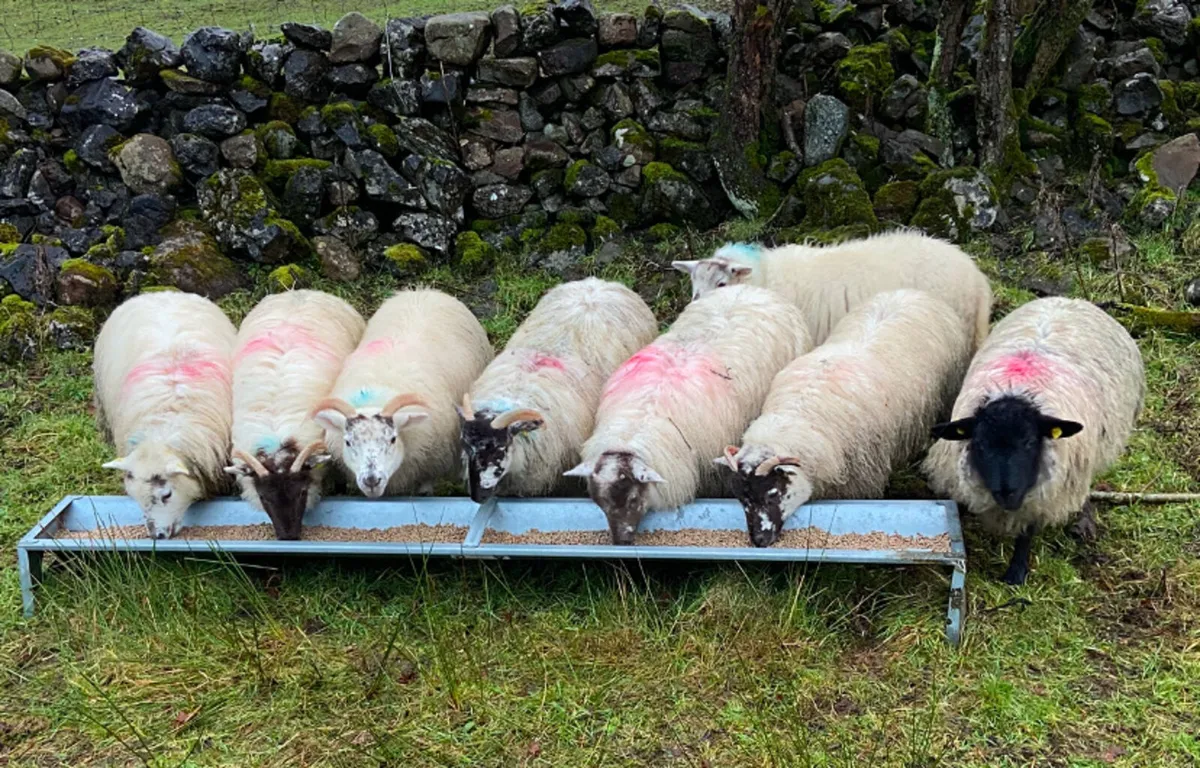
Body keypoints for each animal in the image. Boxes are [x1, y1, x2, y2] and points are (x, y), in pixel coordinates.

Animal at [312, 289, 493, 497]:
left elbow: (425, 491)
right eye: (348, 442)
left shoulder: (430, 465)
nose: (372, 481)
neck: (376, 396)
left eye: (392, 439)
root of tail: (425, 290)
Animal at [715, 289, 973, 547]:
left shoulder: (861, 479)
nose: (758, 540)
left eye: (773, 494)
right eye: (741, 498)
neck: (799, 415)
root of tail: (911, 292)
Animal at [923, 297, 1145, 584]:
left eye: (1029, 442)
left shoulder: (1042, 493)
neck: (1015, 388)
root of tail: (1071, 300)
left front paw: (1016, 574)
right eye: (980, 444)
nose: (1007, 492)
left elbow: (1027, 530)